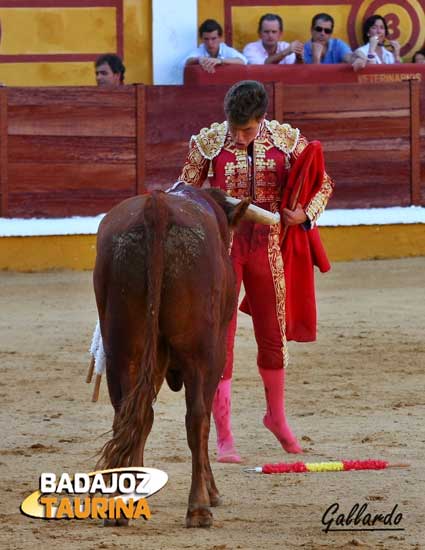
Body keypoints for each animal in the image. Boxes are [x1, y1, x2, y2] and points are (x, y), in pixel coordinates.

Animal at [93, 185, 248, 532]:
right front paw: (212, 492)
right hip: (202, 353)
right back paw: (199, 509)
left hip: (122, 351)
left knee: (128, 414)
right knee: (197, 417)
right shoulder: (213, 354)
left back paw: (122, 505)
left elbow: (143, 418)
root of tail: (157, 206)